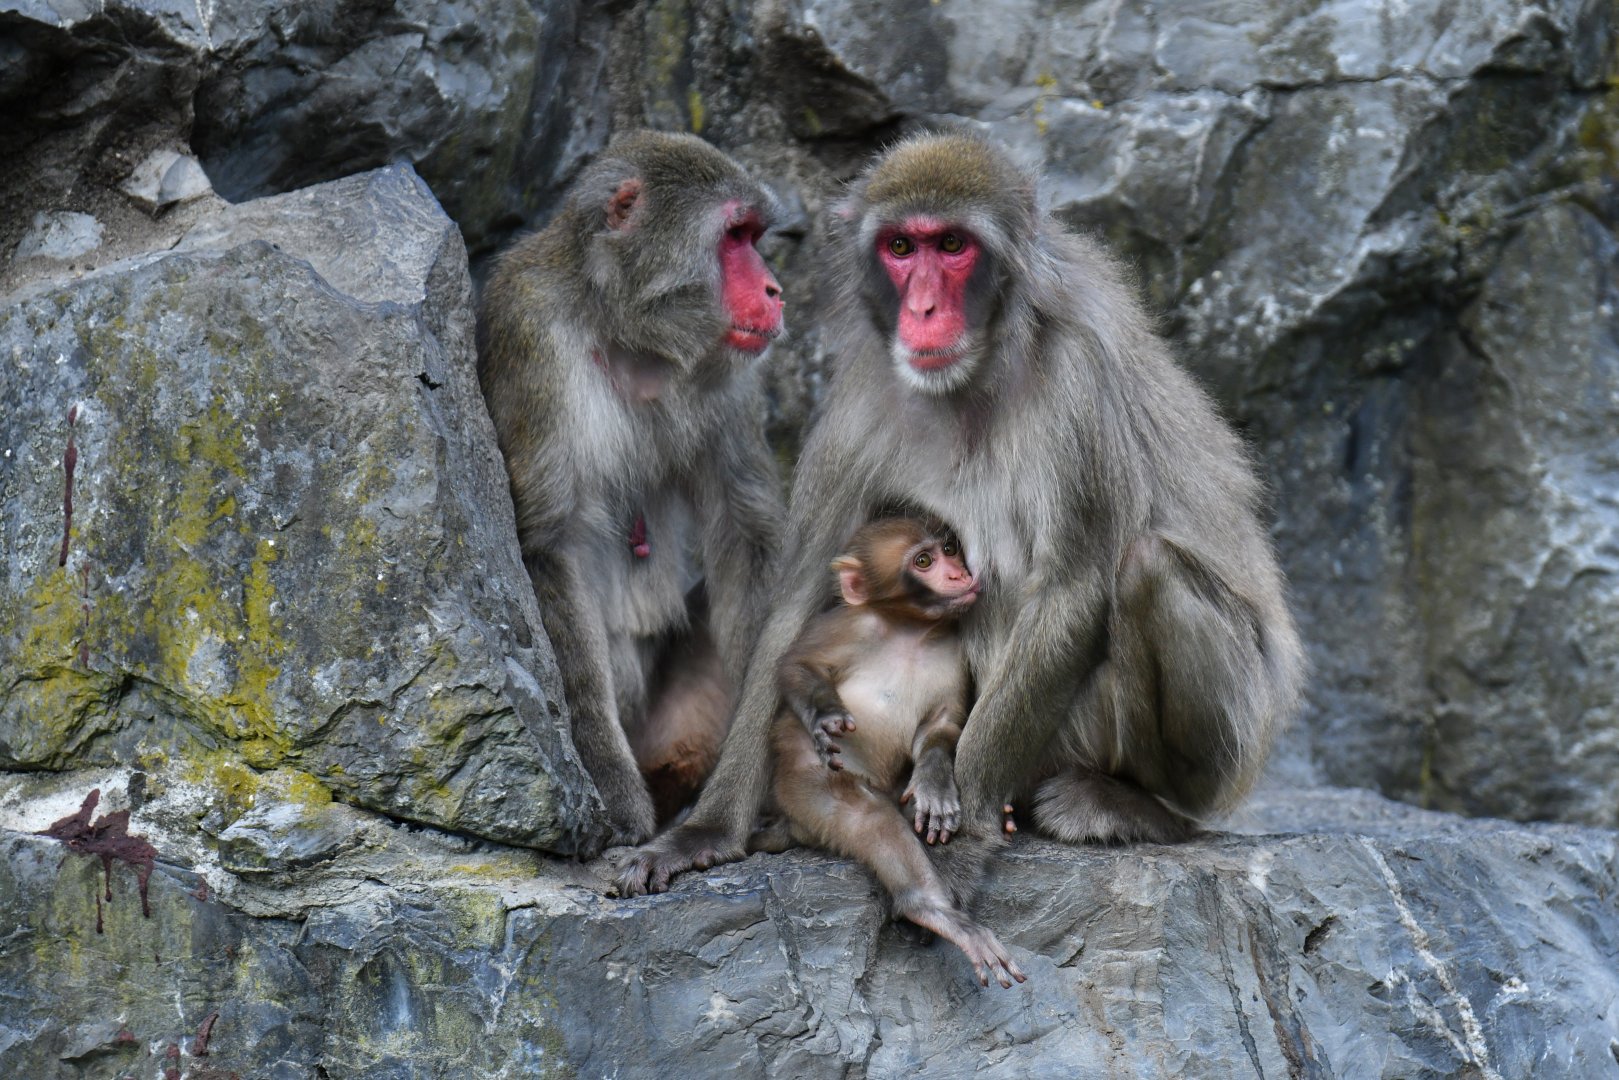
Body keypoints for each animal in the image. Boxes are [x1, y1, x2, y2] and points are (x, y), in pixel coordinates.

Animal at [478, 131, 787, 851]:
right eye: (735, 236)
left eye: (754, 236)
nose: (774, 289)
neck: (625, 333)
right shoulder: (532, 339)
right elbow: (549, 545)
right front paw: (613, 795)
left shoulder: (730, 373)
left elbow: (746, 536)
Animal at [616, 130, 1304, 905]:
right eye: (900, 247)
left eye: (951, 245)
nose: (920, 310)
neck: (974, 376)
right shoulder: (859, 400)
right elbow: (797, 604)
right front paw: (707, 830)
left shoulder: (1077, 376)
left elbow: (1071, 588)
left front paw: (960, 833)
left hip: (1226, 745)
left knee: (1148, 568)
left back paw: (1134, 805)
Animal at [751, 515, 1026, 988]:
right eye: (923, 561)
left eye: (949, 548)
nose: (959, 574)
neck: (911, 631)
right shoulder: (847, 626)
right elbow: (795, 666)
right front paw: (826, 715)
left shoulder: (955, 651)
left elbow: (941, 726)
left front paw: (934, 783)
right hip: (800, 789)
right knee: (868, 818)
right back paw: (929, 908)